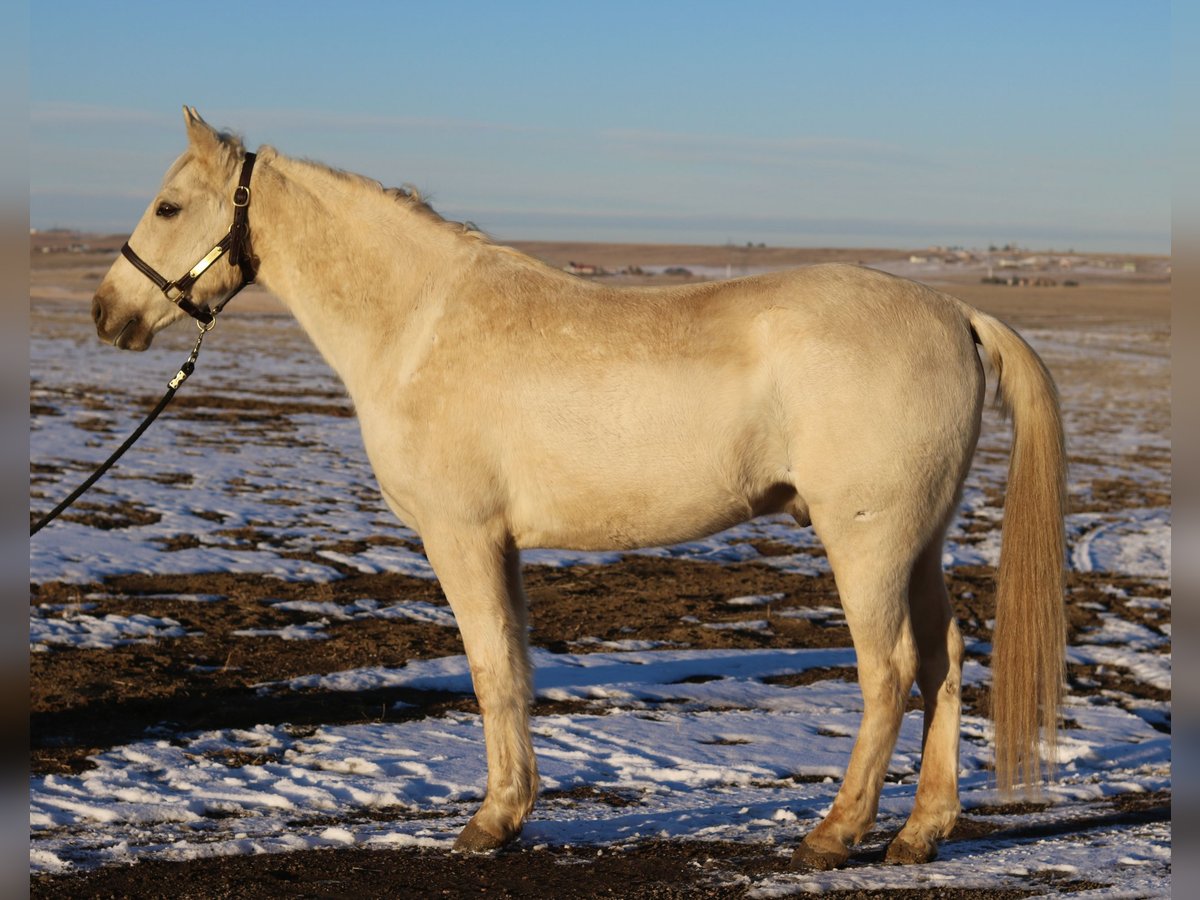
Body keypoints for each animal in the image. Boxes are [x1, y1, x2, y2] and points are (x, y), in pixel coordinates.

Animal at [96, 107, 1070, 873]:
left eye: (169, 205)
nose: (109, 314)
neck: (418, 326)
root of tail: (956, 313)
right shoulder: (501, 545)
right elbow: (517, 671)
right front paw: (513, 810)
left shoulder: (461, 536)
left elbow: (490, 670)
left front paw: (490, 824)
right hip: (919, 543)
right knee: (944, 662)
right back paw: (920, 834)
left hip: (866, 540)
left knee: (890, 671)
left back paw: (835, 836)